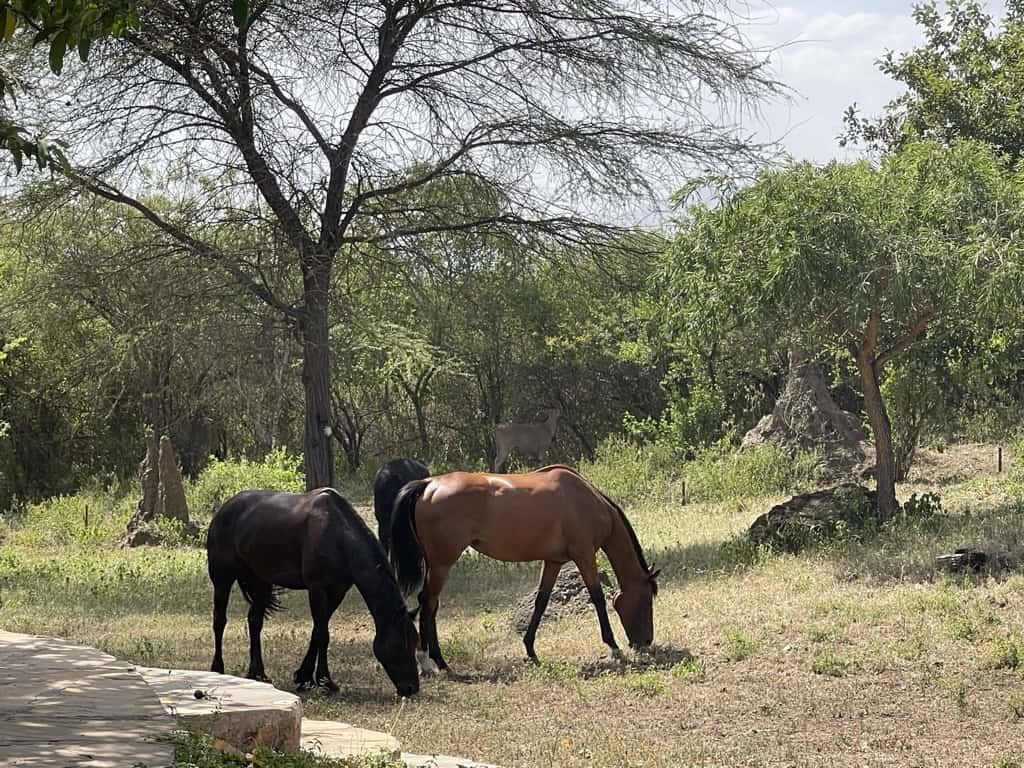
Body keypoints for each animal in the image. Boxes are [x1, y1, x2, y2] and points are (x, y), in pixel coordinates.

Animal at [206, 487, 420, 697]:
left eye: (415, 642)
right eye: (401, 644)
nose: (411, 688)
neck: (338, 535)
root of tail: (224, 509)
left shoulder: (336, 592)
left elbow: (318, 632)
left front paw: (306, 677)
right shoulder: (317, 589)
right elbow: (322, 634)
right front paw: (325, 681)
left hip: (261, 582)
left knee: (254, 621)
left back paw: (258, 673)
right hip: (222, 579)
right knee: (219, 620)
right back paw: (218, 668)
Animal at [388, 465, 658, 673]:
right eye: (646, 600)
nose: (645, 641)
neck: (586, 500)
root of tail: (429, 485)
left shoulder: (553, 562)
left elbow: (541, 601)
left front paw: (530, 649)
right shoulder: (584, 556)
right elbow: (598, 598)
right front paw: (613, 647)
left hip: (435, 564)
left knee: (429, 604)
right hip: (442, 564)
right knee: (428, 603)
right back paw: (433, 661)